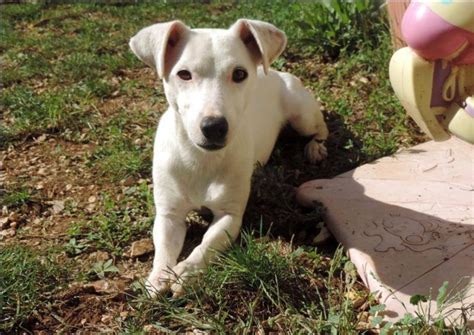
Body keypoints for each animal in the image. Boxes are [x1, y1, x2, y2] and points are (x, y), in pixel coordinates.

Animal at [130, 19, 330, 296]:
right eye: (184, 74)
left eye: (239, 74)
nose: (214, 126)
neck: (200, 159)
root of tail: (277, 73)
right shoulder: (169, 215)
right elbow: (164, 248)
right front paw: (159, 276)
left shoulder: (229, 216)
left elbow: (206, 244)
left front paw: (186, 273)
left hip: (302, 116)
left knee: (321, 128)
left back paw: (315, 148)